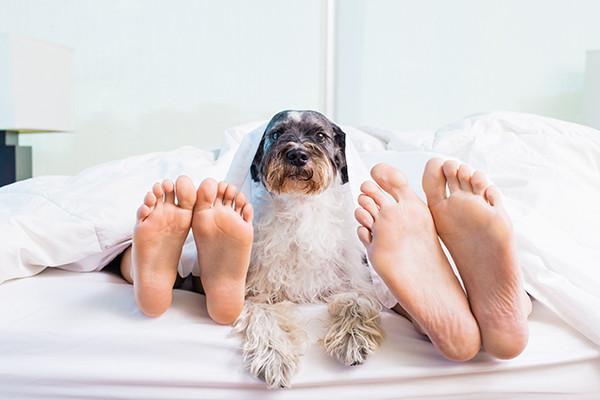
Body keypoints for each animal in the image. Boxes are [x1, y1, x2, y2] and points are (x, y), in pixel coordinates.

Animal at [234, 109, 384, 388]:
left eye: (321, 135)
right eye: (276, 134)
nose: (297, 154)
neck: (300, 209)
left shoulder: (353, 283)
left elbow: (355, 304)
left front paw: (352, 340)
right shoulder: (257, 294)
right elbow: (264, 318)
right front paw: (275, 356)